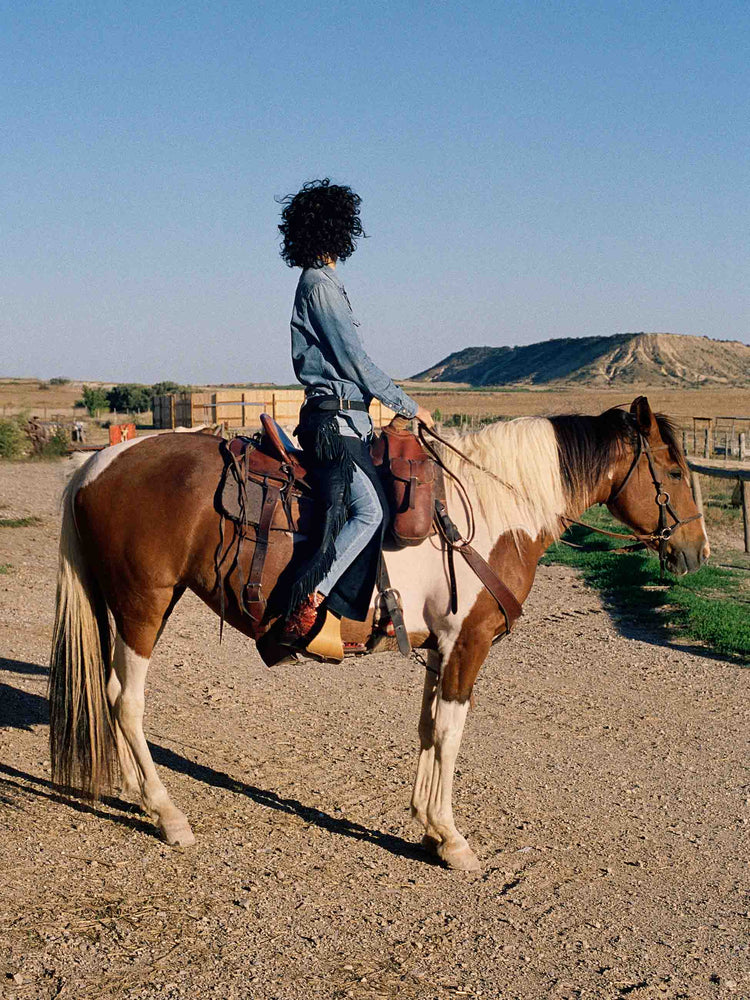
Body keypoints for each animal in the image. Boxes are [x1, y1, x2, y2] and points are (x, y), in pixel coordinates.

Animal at [48, 394, 712, 872]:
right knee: (126, 701)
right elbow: (449, 733)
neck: (491, 509)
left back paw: (137, 793)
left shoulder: (441, 647)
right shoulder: (468, 643)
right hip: (144, 604)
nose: (696, 553)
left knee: (110, 695)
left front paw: (427, 825)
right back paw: (169, 815)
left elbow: (427, 728)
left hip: (129, 607)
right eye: (675, 470)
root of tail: (97, 464)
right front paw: (452, 839)